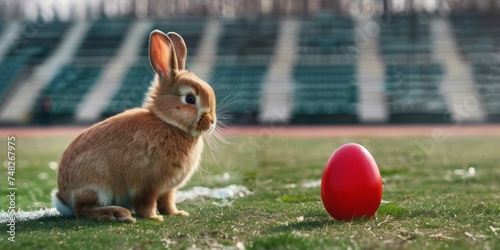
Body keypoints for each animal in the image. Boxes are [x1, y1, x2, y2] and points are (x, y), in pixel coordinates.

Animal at [51, 29, 218, 223]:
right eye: (190, 99)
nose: (212, 122)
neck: (169, 122)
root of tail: (63, 198)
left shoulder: (167, 189)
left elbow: (167, 202)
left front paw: (177, 213)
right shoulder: (147, 185)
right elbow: (146, 204)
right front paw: (155, 218)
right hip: (97, 187)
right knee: (82, 210)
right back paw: (117, 214)